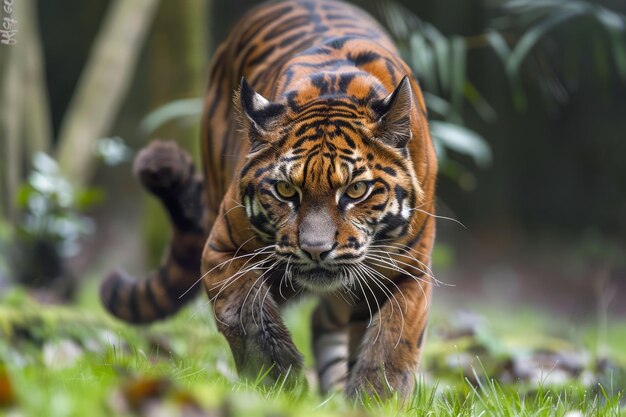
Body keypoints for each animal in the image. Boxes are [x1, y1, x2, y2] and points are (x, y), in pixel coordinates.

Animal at [101, 0, 434, 398]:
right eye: (286, 190)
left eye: (356, 190)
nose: (316, 250)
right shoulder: (221, 250)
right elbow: (249, 316)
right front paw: (281, 387)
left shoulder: (410, 272)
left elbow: (392, 343)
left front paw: (374, 399)